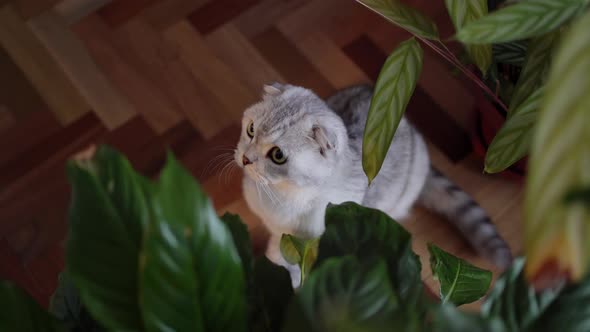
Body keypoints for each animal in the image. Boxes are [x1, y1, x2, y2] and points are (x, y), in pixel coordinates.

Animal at [235, 82, 512, 286]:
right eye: (251, 130)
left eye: (278, 155)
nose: (245, 159)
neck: (279, 193)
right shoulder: (279, 231)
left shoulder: (307, 239)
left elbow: (291, 261)